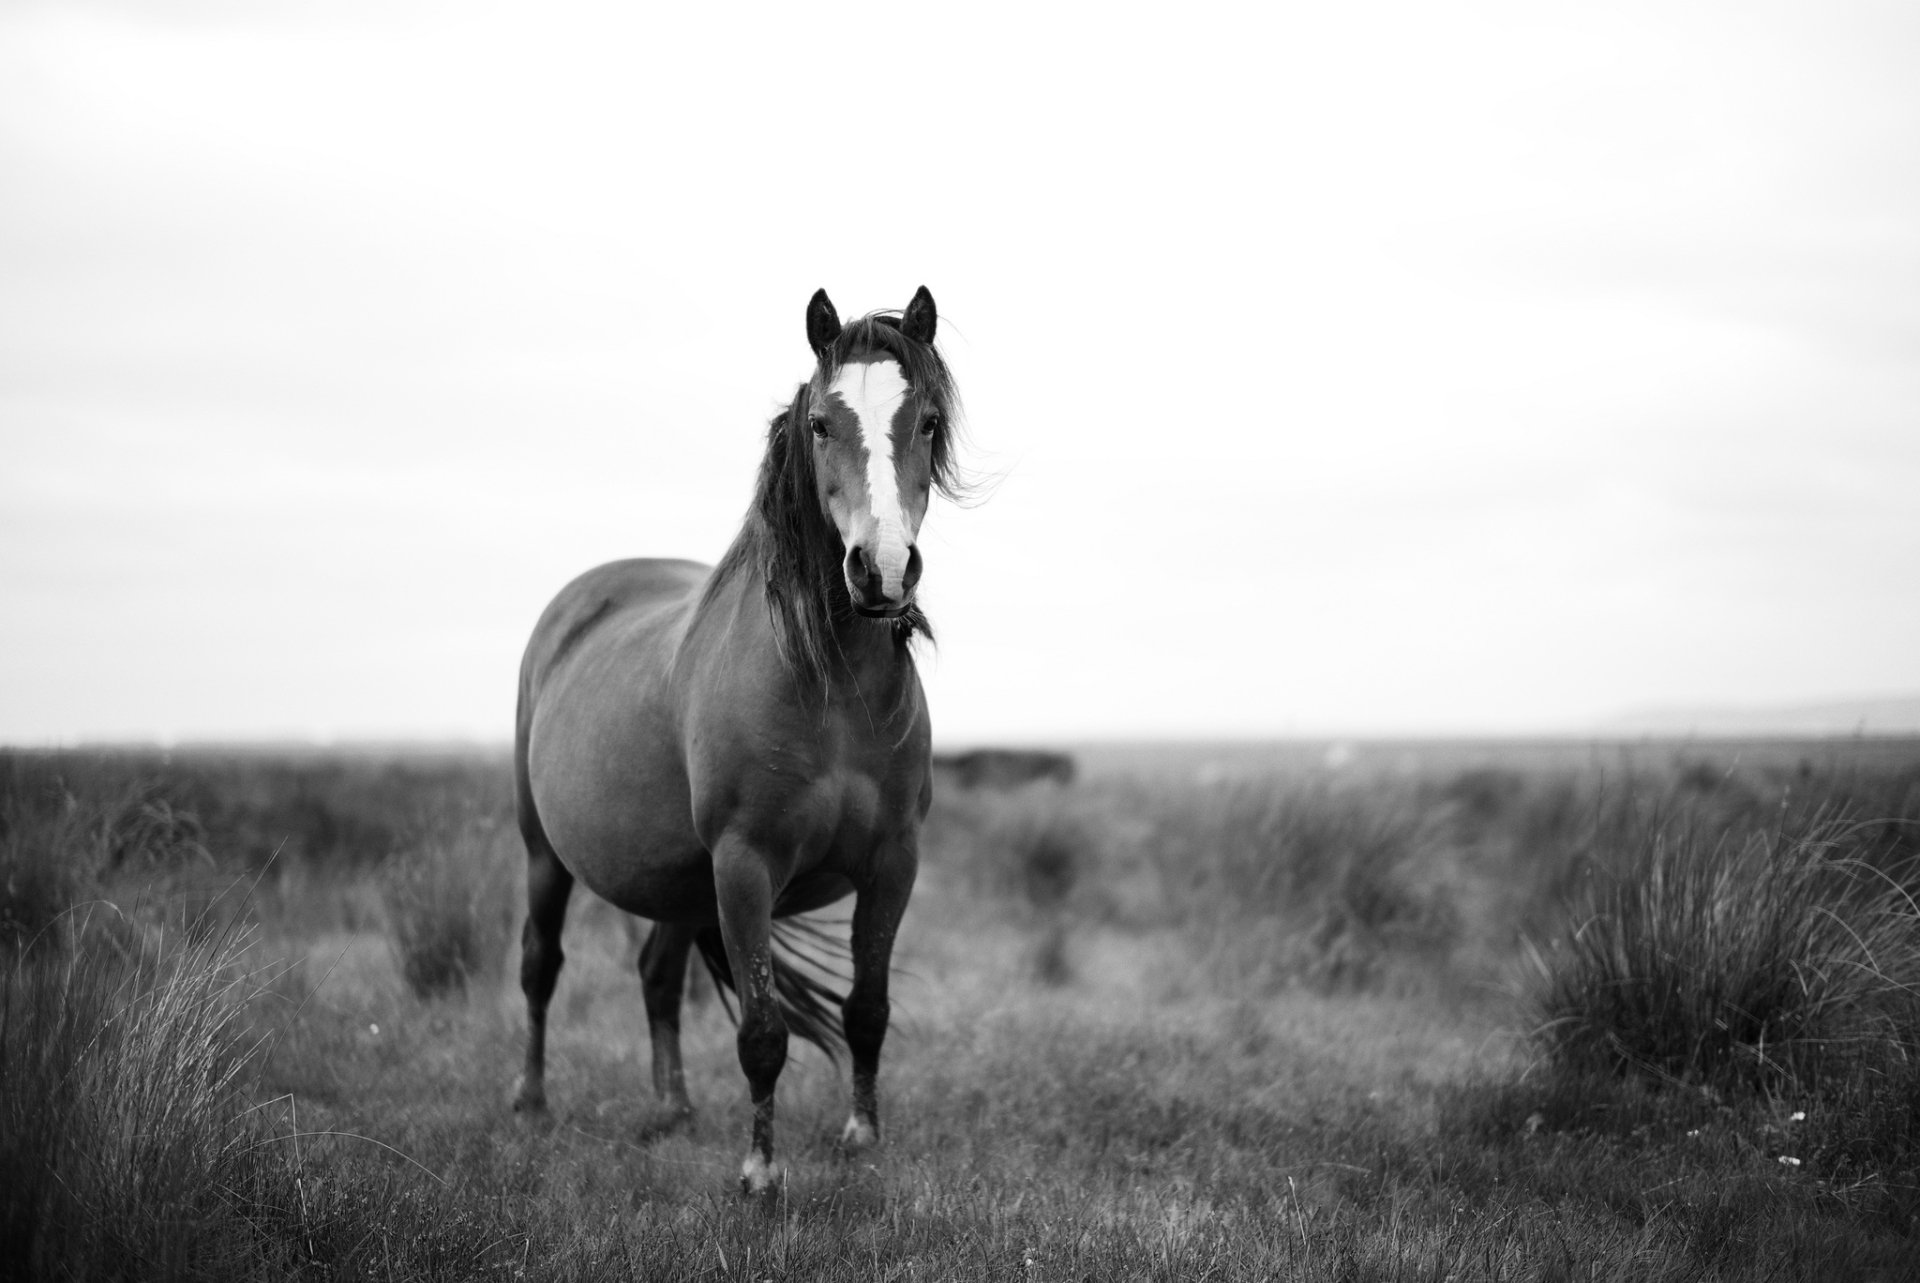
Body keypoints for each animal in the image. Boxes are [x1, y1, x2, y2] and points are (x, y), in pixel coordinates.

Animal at [510, 286, 962, 1194]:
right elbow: (762, 1031)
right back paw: (533, 1101)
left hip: (678, 881)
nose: (882, 569)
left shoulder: (893, 861)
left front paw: (862, 1137)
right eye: (821, 423)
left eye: (928, 422)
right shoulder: (746, 865)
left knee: (656, 976)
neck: (832, 692)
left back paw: (672, 1108)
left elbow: (867, 1009)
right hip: (545, 851)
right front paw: (759, 1172)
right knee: (542, 963)